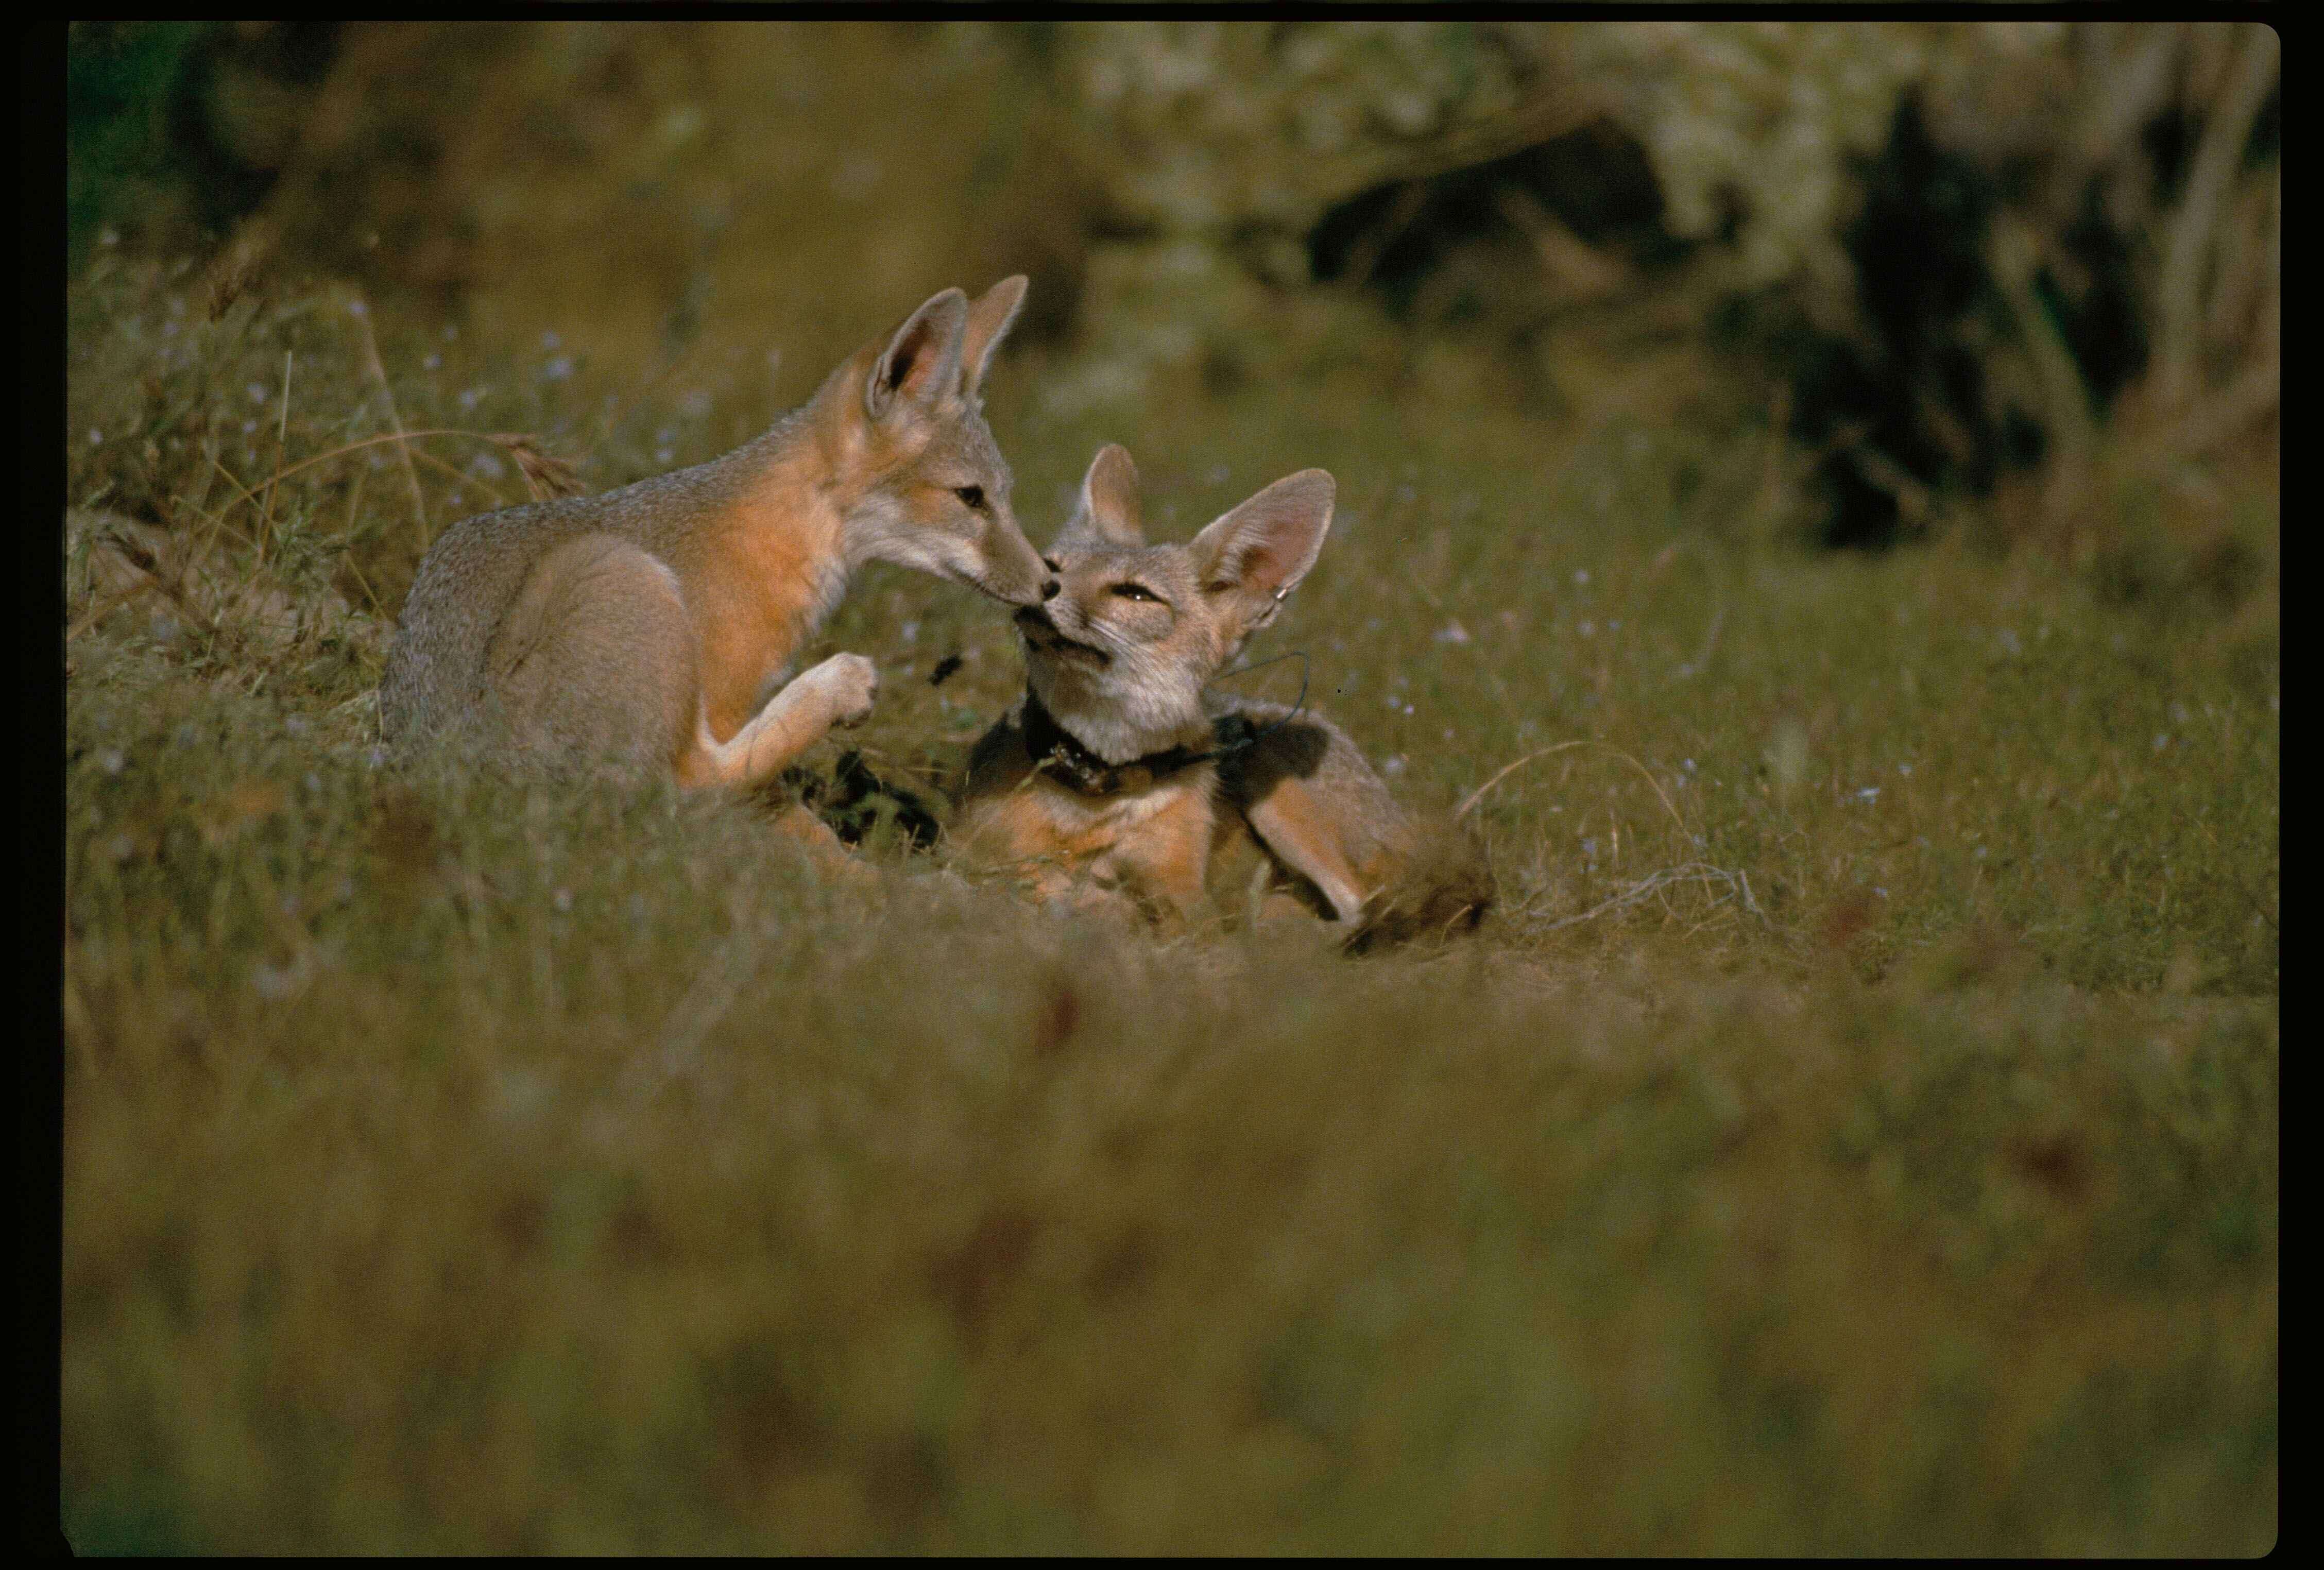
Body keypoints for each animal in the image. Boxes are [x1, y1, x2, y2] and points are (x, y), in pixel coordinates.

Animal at [379, 272, 1055, 799]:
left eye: (1005, 494)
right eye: (971, 498)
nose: (1049, 584)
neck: (775, 534)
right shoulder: (727, 702)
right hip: (622, 576)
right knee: (698, 788)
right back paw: (835, 686)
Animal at [957, 448, 1487, 952]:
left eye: (1135, 595)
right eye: (1053, 566)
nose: (1041, 587)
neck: (1096, 793)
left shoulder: (1187, 900)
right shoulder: (974, 860)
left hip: (1274, 781)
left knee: (1361, 911)